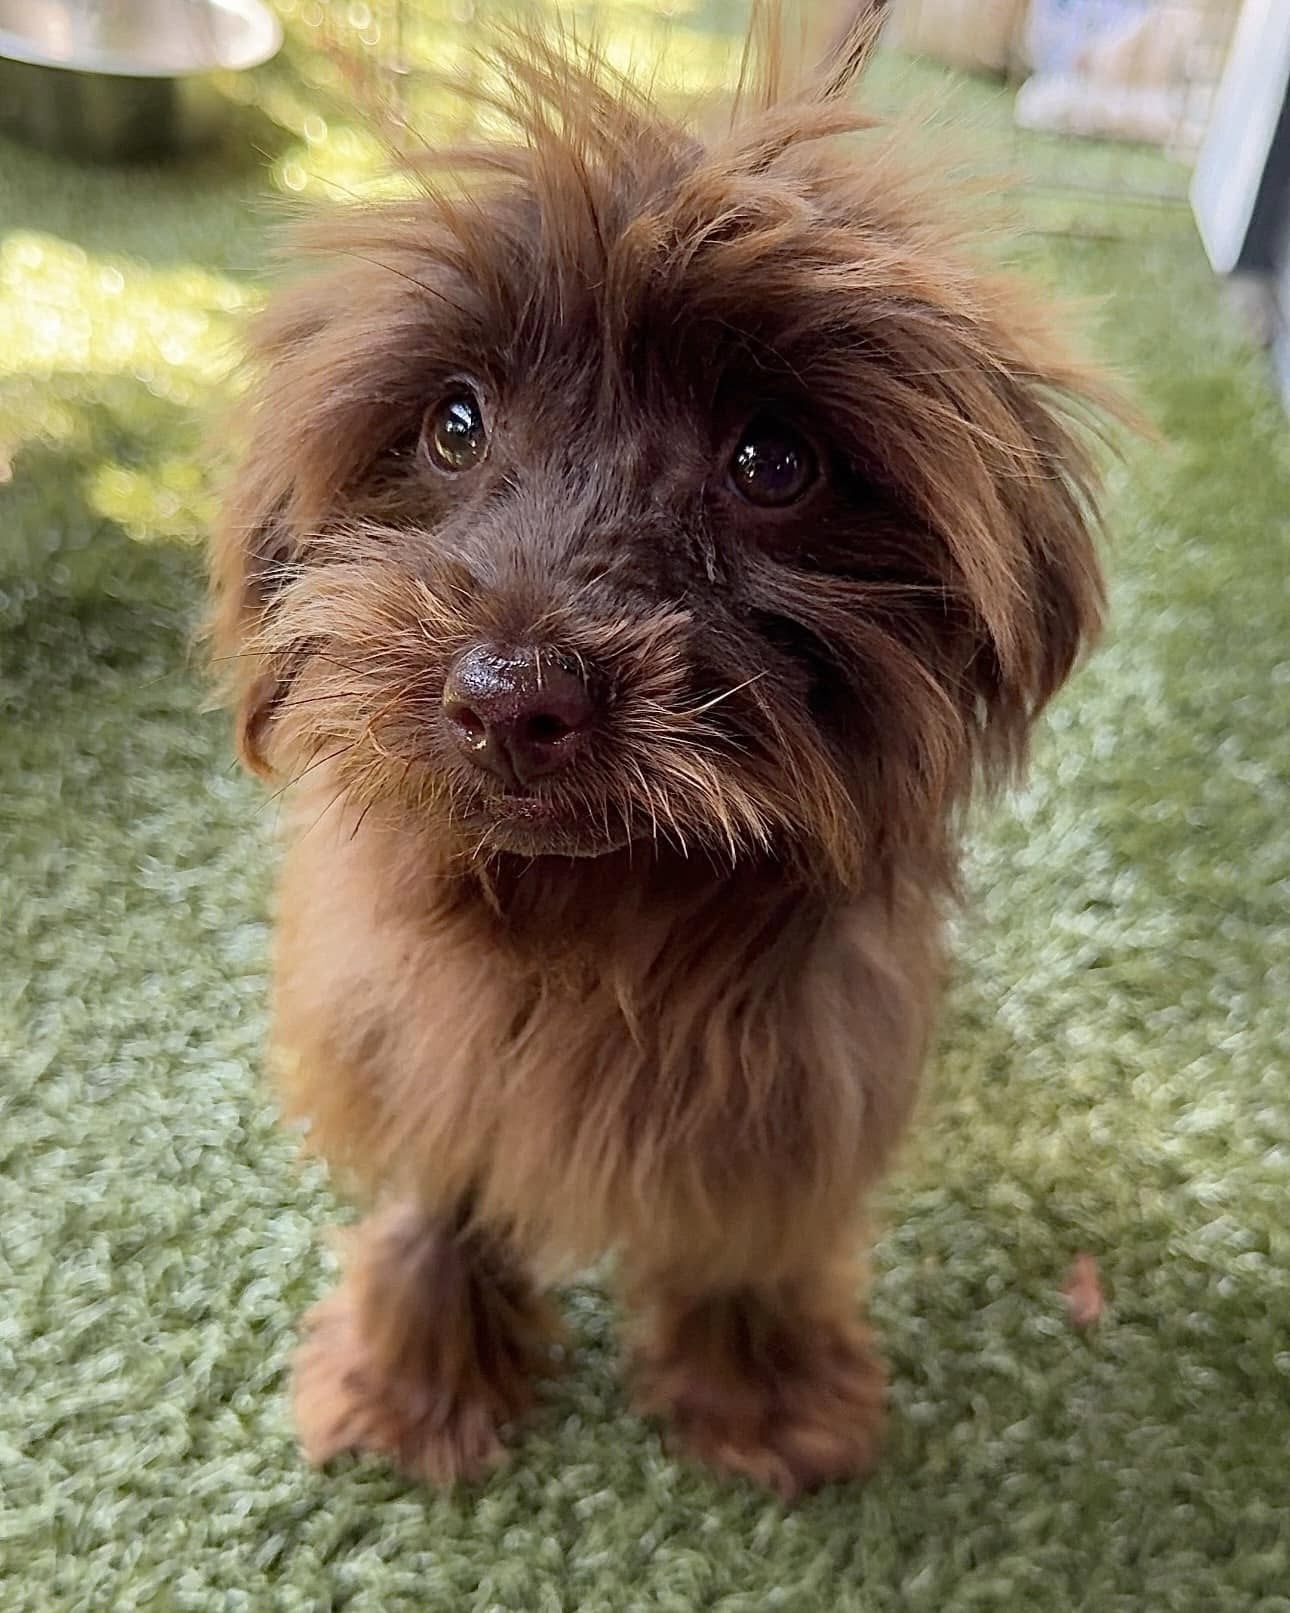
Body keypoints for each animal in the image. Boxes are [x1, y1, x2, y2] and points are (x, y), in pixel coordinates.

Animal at [209, 15, 1109, 1496]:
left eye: (773, 461)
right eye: (453, 424)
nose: (510, 698)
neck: (595, 913)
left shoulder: (797, 1076)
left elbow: (746, 1222)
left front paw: (760, 1388)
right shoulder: (402, 1032)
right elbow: (438, 1179)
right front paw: (416, 1373)